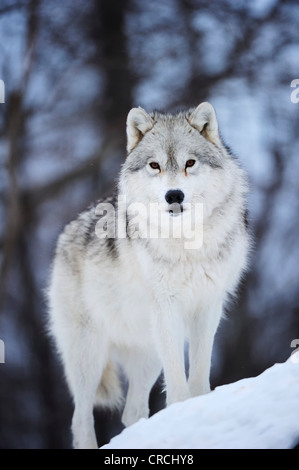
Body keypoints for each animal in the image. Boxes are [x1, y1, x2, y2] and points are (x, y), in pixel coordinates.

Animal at [48, 102, 251, 448]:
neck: (186, 242)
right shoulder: (166, 307)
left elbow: (199, 371)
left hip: (147, 355)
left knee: (132, 412)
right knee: (80, 420)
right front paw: (183, 413)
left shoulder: (207, 307)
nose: (174, 195)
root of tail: (67, 230)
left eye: (190, 163)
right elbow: (178, 383)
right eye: (154, 165)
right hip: (89, 355)